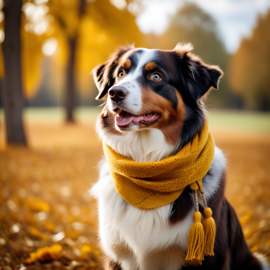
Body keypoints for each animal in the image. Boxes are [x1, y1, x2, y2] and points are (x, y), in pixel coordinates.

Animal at [90, 44, 268, 270]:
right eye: (121, 73)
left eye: (156, 76)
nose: (115, 93)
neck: (146, 159)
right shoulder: (118, 256)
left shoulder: (209, 258)